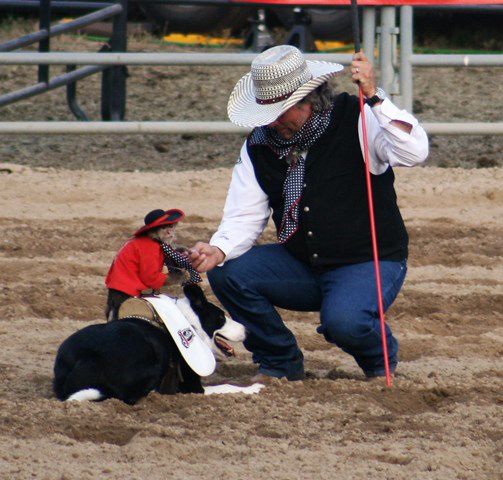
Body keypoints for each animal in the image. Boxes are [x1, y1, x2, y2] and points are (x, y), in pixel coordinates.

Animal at [53, 284, 260, 404]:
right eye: (221, 318)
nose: (248, 331)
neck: (190, 323)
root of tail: (86, 358)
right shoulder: (192, 388)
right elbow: (227, 386)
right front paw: (254, 388)